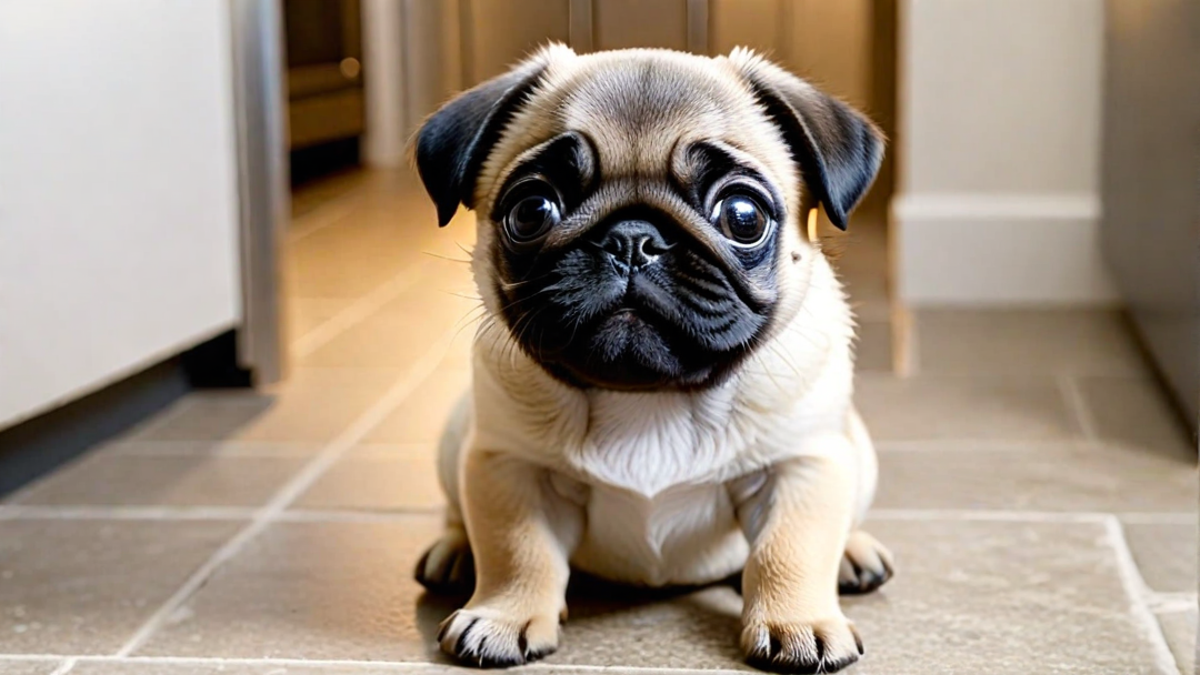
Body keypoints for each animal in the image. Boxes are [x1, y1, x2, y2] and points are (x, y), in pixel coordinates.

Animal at [412, 44, 892, 667]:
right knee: (459, 509)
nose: (632, 239)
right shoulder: (509, 468)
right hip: (456, 440)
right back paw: (453, 550)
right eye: (532, 210)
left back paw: (854, 554)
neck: (648, 397)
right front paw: (504, 616)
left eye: (743, 216)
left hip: (858, 451)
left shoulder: (802, 465)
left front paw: (798, 623)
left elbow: (790, 548)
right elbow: (516, 547)